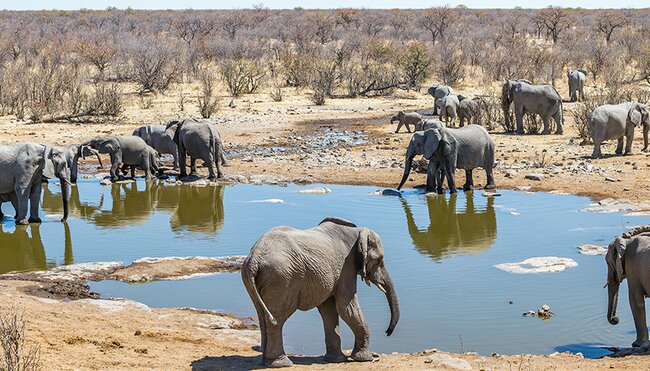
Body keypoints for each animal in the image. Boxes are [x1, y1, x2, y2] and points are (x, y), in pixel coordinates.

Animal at [240, 218, 398, 370]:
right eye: (379, 260)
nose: (387, 332)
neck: (357, 232)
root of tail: (254, 258)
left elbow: (329, 309)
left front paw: (336, 360)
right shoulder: (346, 267)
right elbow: (346, 307)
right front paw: (365, 358)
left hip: (256, 279)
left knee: (263, 316)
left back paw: (267, 362)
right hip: (282, 278)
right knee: (277, 319)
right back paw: (282, 364)